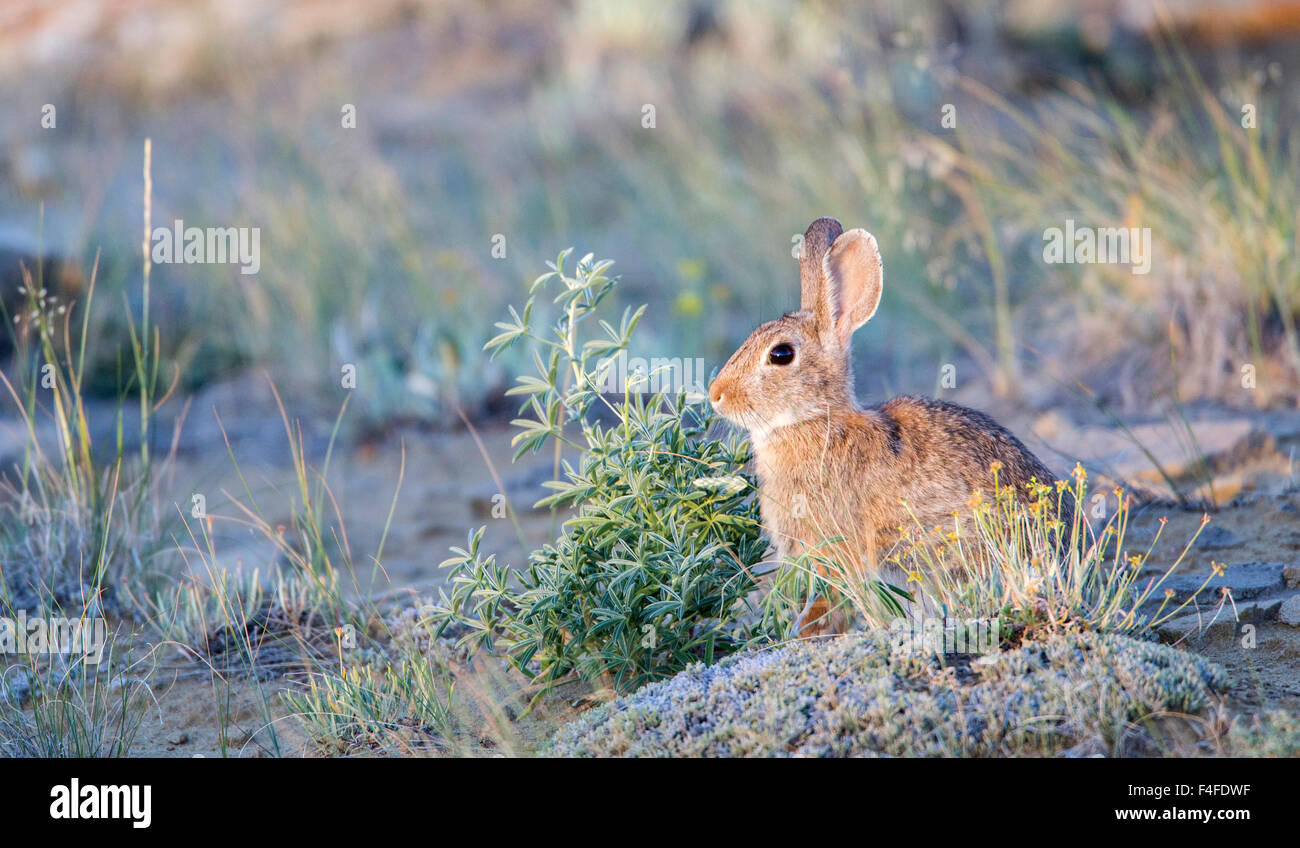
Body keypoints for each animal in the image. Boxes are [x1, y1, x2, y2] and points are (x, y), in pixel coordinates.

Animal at [708, 217, 1070, 634]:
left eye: (781, 354)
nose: (716, 395)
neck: (817, 420)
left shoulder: (835, 548)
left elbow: (832, 600)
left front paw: (806, 631)